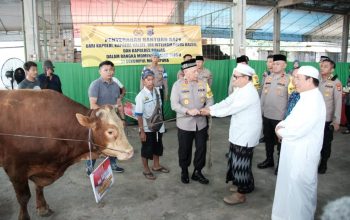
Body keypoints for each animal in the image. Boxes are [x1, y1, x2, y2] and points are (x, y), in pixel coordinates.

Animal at [0, 90, 133, 220]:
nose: (130, 151)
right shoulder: (15, 170)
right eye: (110, 131)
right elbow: (24, 197)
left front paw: (42, 208)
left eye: (122, 124)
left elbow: (39, 187)